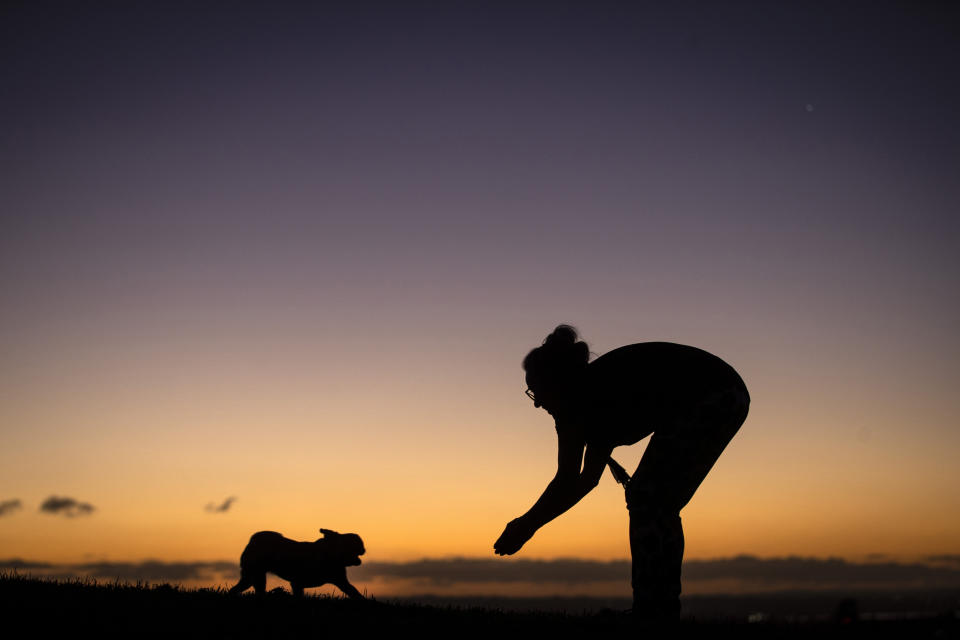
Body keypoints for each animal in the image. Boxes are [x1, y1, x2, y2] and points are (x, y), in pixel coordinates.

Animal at [229, 528, 368, 596]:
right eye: (354, 543)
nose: (364, 549)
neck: (330, 555)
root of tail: (252, 541)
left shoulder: (342, 582)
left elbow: (355, 593)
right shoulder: (297, 583)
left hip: (252, 578)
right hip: (254, 575)